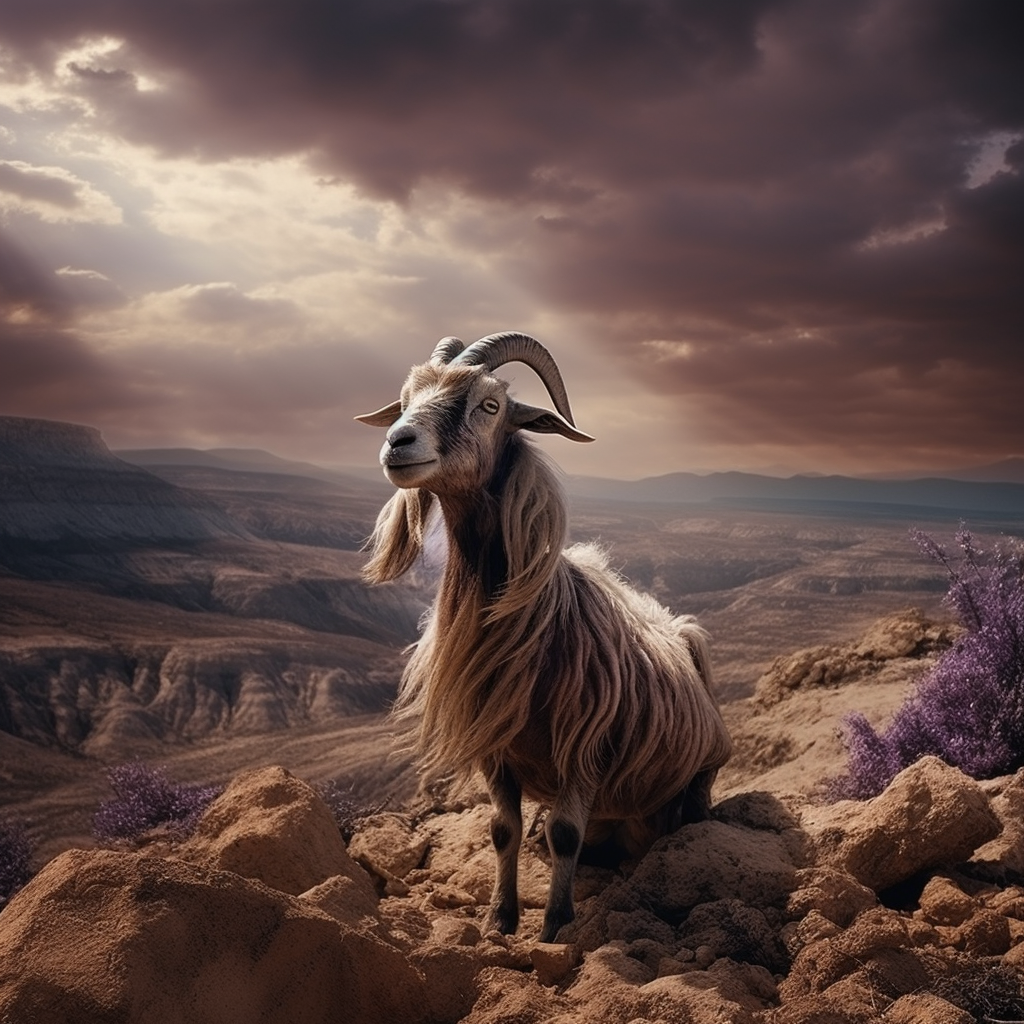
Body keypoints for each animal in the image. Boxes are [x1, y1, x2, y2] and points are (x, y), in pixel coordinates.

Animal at [356, 331, 733, 937]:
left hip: (705, 765)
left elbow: (565, 834)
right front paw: (499, 918)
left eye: (489, 405)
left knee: (690, 811)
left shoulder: (585, 748)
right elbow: (501, 831)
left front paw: (556, 925)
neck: (539, 625)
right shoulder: (496, 751)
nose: (398, 442)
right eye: (405, 398)